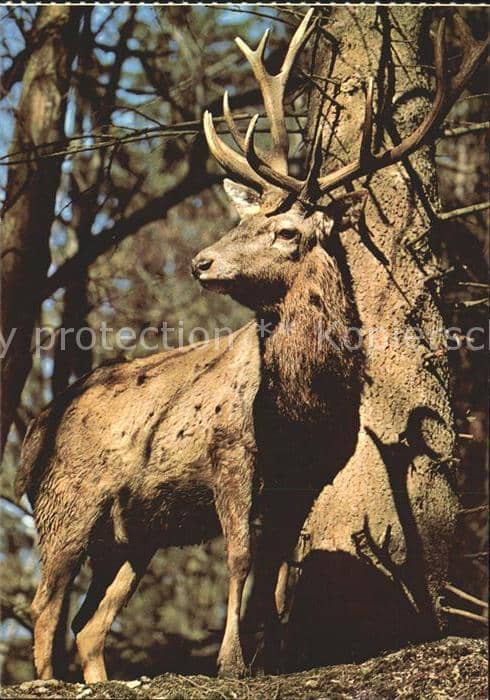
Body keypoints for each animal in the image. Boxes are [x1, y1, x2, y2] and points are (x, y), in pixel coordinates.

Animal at [15, 9, 488, 684]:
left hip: (134, 533)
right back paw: (46, 679)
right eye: (241, 220)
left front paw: (273, 658)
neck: (300, 411)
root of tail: (33, 432)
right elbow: (240, 559)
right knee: (45, 602)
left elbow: (276, 574)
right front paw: (231, 662)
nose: (200, 261)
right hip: (66, 500)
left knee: (89, 623)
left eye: (287, 231)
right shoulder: (229, 455)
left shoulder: (308, 478)